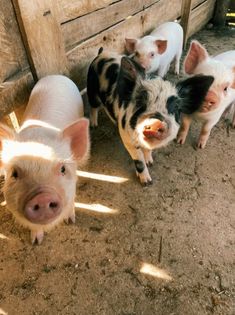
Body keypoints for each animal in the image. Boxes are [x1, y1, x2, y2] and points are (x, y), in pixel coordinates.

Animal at [87, 48, 214, 185]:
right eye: (140, 103)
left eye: (175, 107)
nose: (155, 121)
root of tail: (101, 53)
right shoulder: (126, 137)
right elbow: (139, 161)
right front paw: (147, 182)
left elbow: (147, 151)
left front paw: (150, 162)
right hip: (91, 89)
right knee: (93, 107)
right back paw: (94, 125)